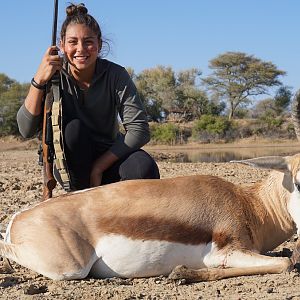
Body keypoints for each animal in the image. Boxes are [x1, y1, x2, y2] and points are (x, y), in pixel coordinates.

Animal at [1, 155, 300, 282]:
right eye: (297, 180)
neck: (250, 205)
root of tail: (20, 218)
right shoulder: (226, 253)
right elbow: (285, 263)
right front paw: (182, 273)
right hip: (69, 268)